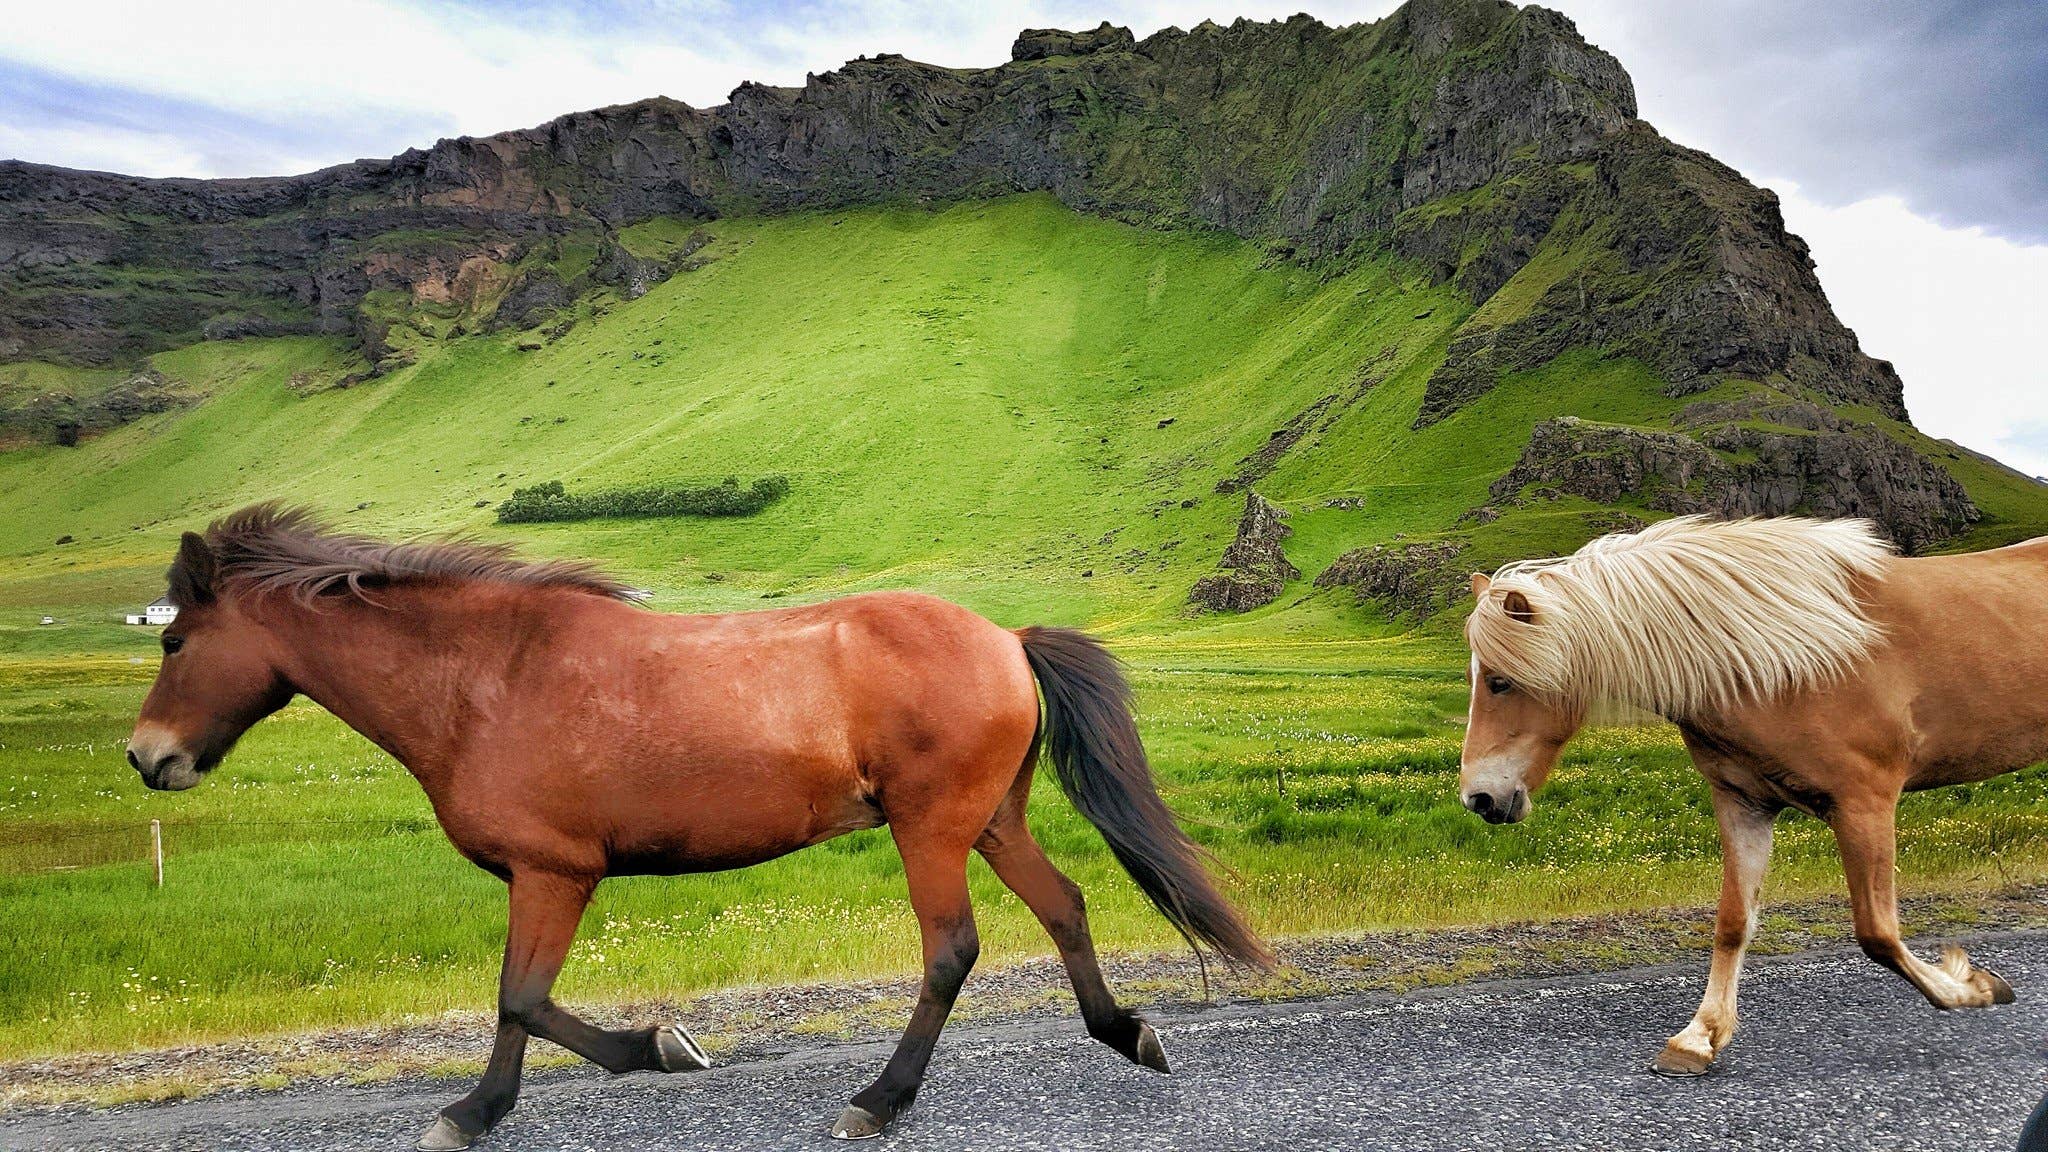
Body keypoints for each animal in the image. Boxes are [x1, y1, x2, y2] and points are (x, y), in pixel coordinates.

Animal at [125, 504, 1272, 1150]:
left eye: (176, 640)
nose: (146, 758)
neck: (487, 680)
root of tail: (1005, 637)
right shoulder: (543, 878)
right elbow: (523, 1003)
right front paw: (606, 1065)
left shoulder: (554, 872)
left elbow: (522, 999)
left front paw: (539, 1089)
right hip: (988, 821)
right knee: (1065, 907)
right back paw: (1125, 1032)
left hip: (930, 830)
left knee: (952, 950)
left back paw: (878, 1099)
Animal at [1458, 515, 2045, 1075]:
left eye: (1499, 682)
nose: (1478, 799)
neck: (1787, 659)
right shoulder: (1744, 804)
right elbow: (1733, 922)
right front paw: (1698, 1038)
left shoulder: (1865, 804)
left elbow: (1877, 932)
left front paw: (1972, 987)